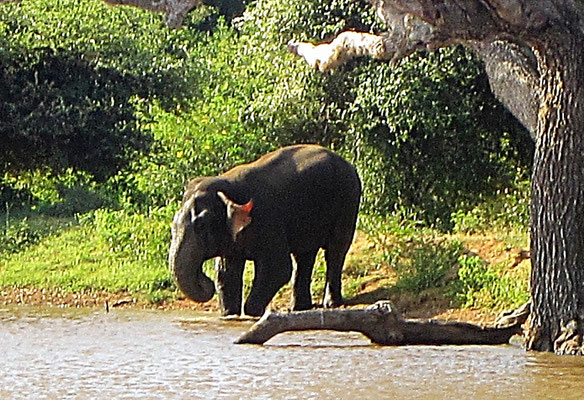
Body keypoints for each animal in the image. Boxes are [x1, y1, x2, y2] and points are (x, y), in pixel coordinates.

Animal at [169, 144, 360, 316]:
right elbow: (227, 273)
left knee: (335, 250)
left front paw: (252, 313)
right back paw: (298, 308)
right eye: (173, 226)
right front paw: (229, 315)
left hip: (348, 200)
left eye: (201, 224)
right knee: (304, 256)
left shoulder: (268, 219)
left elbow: (278, 268)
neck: (229, 187)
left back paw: (331, 304)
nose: (204, 280)